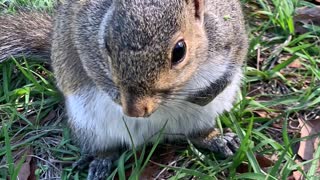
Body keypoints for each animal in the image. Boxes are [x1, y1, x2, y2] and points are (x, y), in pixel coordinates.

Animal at [0, 0, 248, 179]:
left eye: (180, 51)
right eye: (107, 45)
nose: (134, 111)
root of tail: (155, 136)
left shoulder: (230, 29)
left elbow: (236, 57)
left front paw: (208, 93)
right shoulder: (84, 29)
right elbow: (93, 67)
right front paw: (115, 96)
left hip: (203, 117)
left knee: (196, 134)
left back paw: (217, 140)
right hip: (88, 124)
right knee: (103, 146)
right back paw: (101, 160)